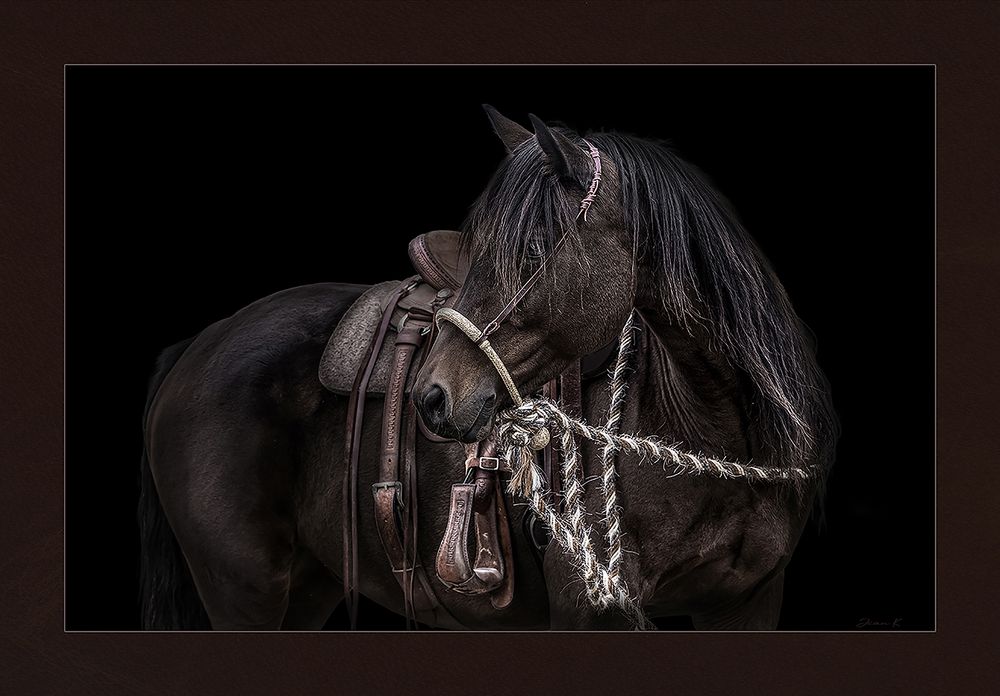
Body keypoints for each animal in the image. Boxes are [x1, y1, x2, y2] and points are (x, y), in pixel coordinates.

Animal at [139, 106, 838, 630]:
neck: (710, 427)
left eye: (529, 249)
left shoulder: (748, 603)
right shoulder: (594, 612)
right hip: (245, 590)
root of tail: (199, 344)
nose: (431, 399)